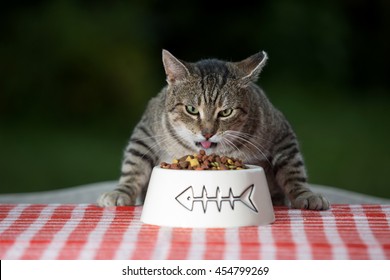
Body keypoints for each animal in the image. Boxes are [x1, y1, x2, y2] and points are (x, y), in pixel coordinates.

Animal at [97, 49, 330, 210]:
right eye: (191, 109)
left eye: (226, 112)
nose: (207, 132)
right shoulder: (144, 133)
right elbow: (133, 168)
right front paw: (119, 192)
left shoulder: (283, 135)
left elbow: (293, 171)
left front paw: (306, 195)